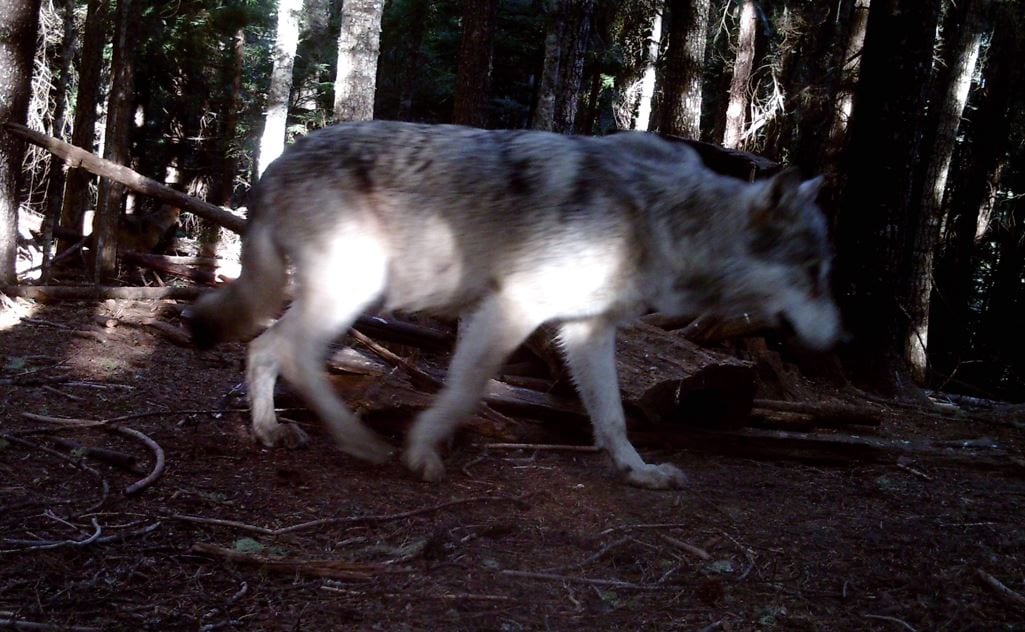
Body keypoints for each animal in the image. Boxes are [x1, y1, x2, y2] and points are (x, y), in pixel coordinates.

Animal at [184, 120, 840, 490]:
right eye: (812, 273)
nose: (838, 340)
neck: (661, 216)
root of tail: (272, 167)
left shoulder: (585, 330)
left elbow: (612, 416)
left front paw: (638, 472)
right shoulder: (511, 309)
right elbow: (463, 393)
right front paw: (422, 450)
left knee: (263, 347)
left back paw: (270, 430)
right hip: (356, 292)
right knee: (288, 353)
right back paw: (358, 442)